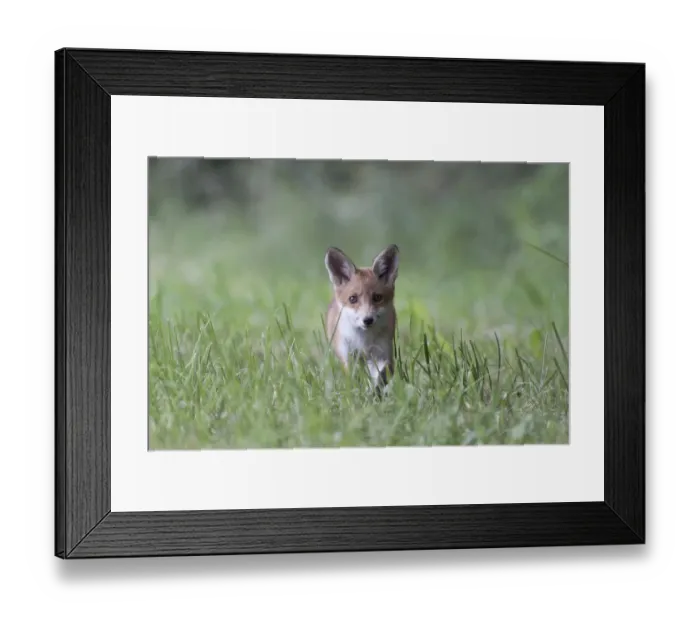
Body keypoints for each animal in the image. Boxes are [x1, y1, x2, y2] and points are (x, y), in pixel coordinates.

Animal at [324, 244, 399, 389]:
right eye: (353, 299)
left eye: (377, 298)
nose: (367, 320)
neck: (364, 342)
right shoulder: (348, 356)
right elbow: (356, 379)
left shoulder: (382, 355)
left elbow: (380, 375)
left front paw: (375, 390)